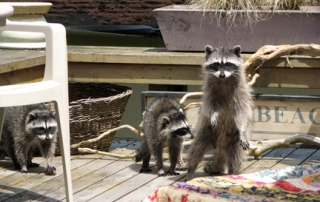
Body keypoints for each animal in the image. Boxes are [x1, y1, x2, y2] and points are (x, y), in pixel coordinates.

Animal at [186, 45, 254, 180]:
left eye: (228, 64)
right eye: (216, 64)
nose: (222, 75)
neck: (224, 81)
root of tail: (220, 147)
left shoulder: (240, 94)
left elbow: (241, 114)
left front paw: (243, 130)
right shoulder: (210, 93)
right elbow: (210, 107)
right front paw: (214, 115)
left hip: (234, 140)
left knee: (236, 159)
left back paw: (234, 174)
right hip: (206, 132)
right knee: (196, 149)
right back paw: (190, 170)